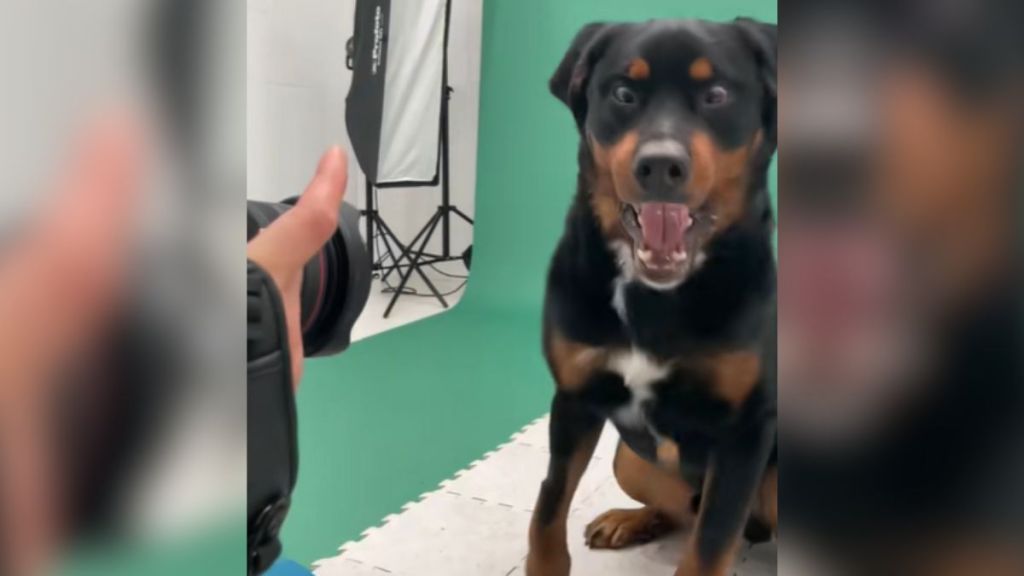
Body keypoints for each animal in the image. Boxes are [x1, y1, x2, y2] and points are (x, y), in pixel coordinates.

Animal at [528, 17, 774, 573]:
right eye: (624, 93)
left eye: (716, 95)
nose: (660, 166)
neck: (656, 295)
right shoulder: (574, 399)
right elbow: (549, 504)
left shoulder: (745, 431)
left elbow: (709, 545)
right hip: (628, 459)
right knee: (679, 508)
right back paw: (629, 520)